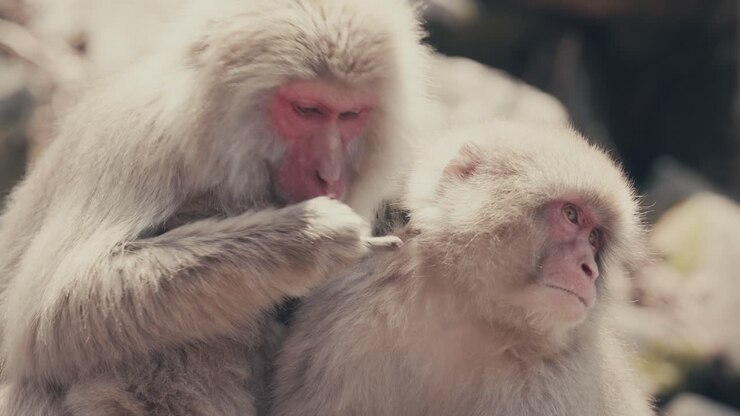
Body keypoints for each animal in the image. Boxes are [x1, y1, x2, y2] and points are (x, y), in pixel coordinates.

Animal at [0, 0, 430, 414]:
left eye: (350, 115)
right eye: (307, 110)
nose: (329, 174)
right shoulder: (138, 139)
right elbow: (52, 314)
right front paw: (309, 241)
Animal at [271, 119, 655, 416]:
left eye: (595, 238)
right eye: (572, 215)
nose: (589, 269)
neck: (466, 312)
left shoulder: (554, 381)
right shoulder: (348, 323)